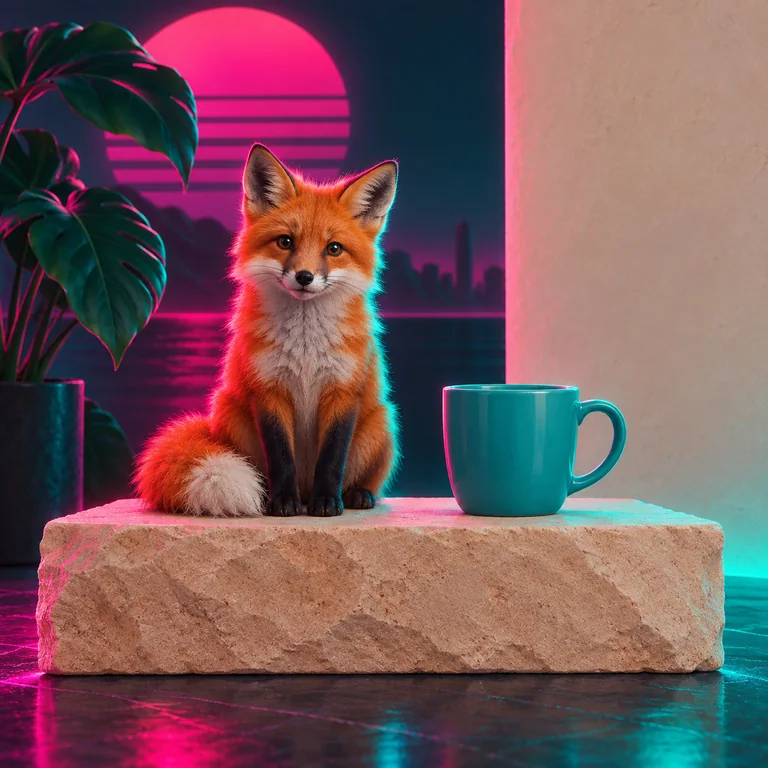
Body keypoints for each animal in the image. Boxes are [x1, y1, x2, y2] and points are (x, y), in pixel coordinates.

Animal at [135, 144, 400, 517]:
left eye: (333, 248)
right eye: (285, 242)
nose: (304, 277)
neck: (305, 347)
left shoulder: (343, 392)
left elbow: (333, 459)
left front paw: (327, 502)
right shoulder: (268, 390)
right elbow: (280, 457)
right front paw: (283, 502)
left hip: (381, 422)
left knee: (363, 477)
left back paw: (356, 494)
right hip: (229, 412)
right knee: (259, 471)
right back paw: (275, 498)